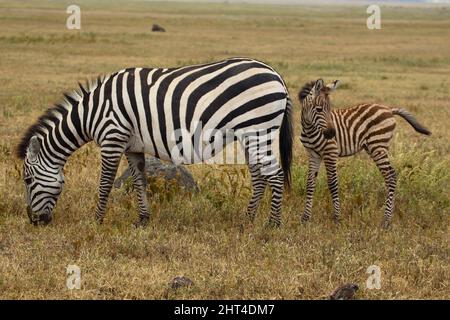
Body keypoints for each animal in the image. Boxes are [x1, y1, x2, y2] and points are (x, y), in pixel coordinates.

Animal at [15, 57, 294, 228]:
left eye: (27, 180)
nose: (33, 221)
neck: (91, 113)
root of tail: (276, 74)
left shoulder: (112, 138)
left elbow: (105, 183)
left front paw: (96, 220)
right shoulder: (132, 147)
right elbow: (139, 181)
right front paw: (143, 219)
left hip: (259, 128)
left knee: (275, 174)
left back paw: (272, 225)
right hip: (251, 134)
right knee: (259, 175)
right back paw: (248, 219)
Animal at [298, 79, 430, 229]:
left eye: (330, 109)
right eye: (319, 109)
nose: (332, 134)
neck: (309, 129)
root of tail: (388, 109)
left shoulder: (330, 152)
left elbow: (332, 184)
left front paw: (337, 219)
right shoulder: (313, 155)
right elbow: (310, 184)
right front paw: (305, 218)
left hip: (378, 146)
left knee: (390, 176)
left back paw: (386, 221)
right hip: (374, 147)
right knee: (391, 175)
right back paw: (388, 220)